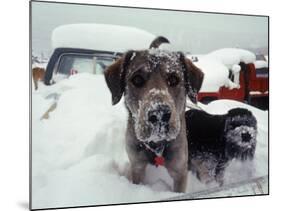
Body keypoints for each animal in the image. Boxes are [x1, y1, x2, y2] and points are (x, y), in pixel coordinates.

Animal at [104, 37, 202, 192]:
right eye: (137, 79)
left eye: (174, 79)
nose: (160, 114)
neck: (156, 144)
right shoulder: (137, 165)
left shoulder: (180, 169)